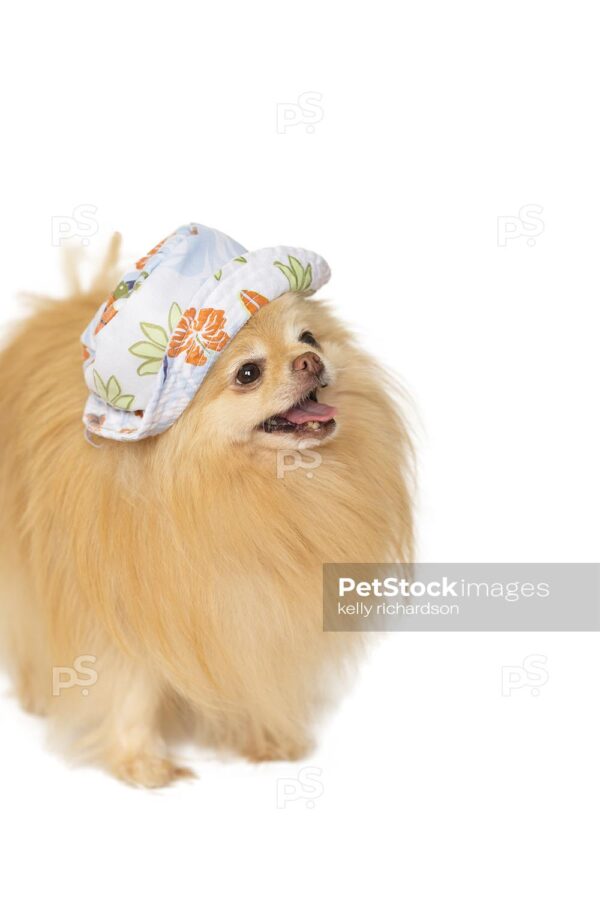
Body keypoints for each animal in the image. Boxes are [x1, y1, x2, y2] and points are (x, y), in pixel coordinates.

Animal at [0, 236, 412, 784]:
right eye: (248, 373)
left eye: (309, 338)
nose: (308, 360)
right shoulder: (119, 613)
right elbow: (130, 689)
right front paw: (142, 762)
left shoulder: (255, 610)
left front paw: (267, 739)